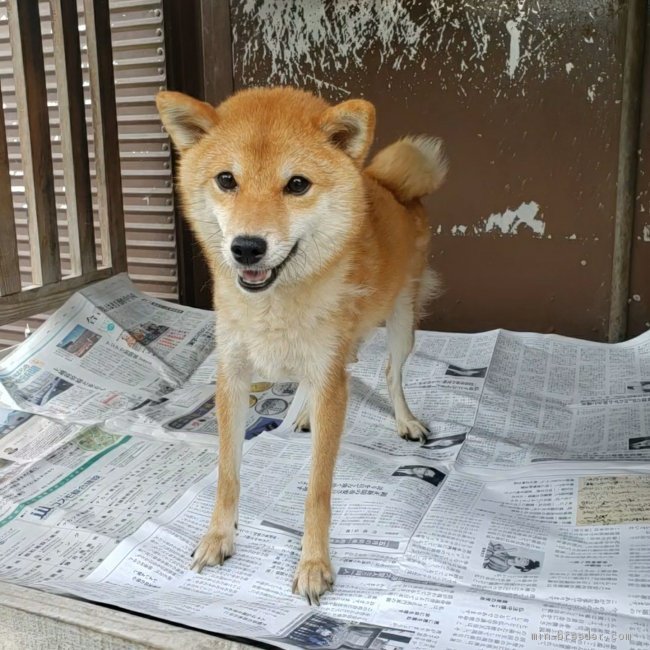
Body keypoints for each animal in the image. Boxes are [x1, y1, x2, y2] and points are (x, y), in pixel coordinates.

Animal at [156, 86, 446, 604]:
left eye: (297, 185)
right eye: (226, 179)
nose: (246, 247)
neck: (272, 304)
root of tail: (389, 184)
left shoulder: (331, 375)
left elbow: (318, 490)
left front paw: (314, 564)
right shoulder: (232, 373)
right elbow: (227, 473)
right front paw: (218, 537)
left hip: (401, 322)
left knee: (391, 374)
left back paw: (405, 420)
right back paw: (301, 416)